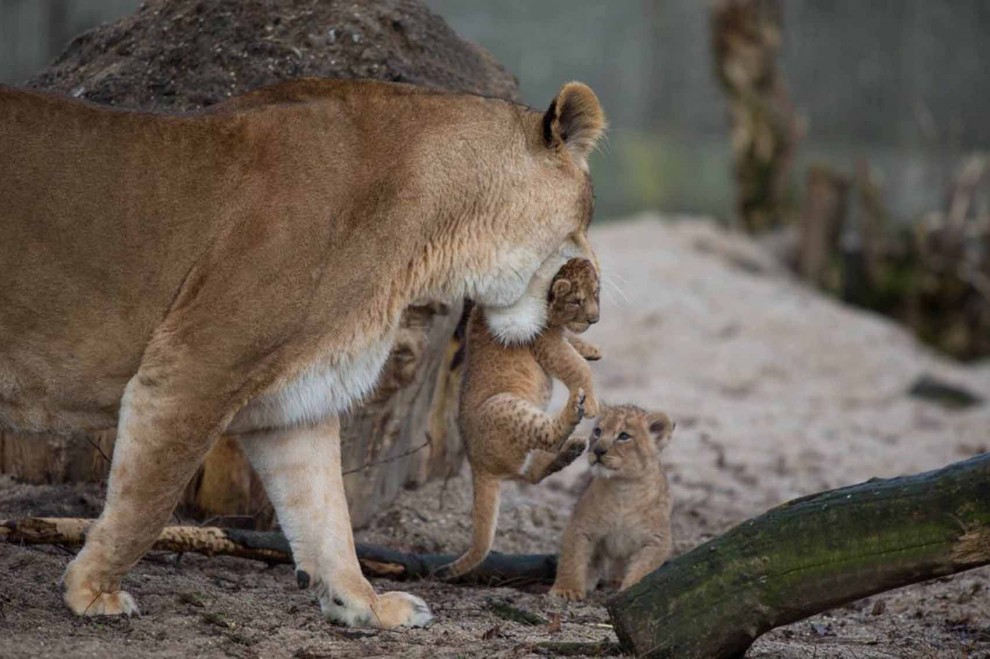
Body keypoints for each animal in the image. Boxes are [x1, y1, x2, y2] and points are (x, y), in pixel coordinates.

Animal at [439, 257, 602, 579]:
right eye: (577, 300)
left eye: (596, 295)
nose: (594, 320)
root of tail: (476, 464)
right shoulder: (545, 342)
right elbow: (576, 367)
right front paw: (591, 402)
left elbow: (574, 346)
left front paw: (592, 349)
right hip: (503, 404)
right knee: (547, 439)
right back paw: (574, 409)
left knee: (531, 473)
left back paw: (572, 450)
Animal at [549, 405, 675, 600]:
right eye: (597, 431)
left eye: (623, 436)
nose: (598, 450)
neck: (624, 488)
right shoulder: (581, 525)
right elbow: (572, 558)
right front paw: (566, 589)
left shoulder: (657, 539)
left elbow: (643, 569)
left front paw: (630, 589)